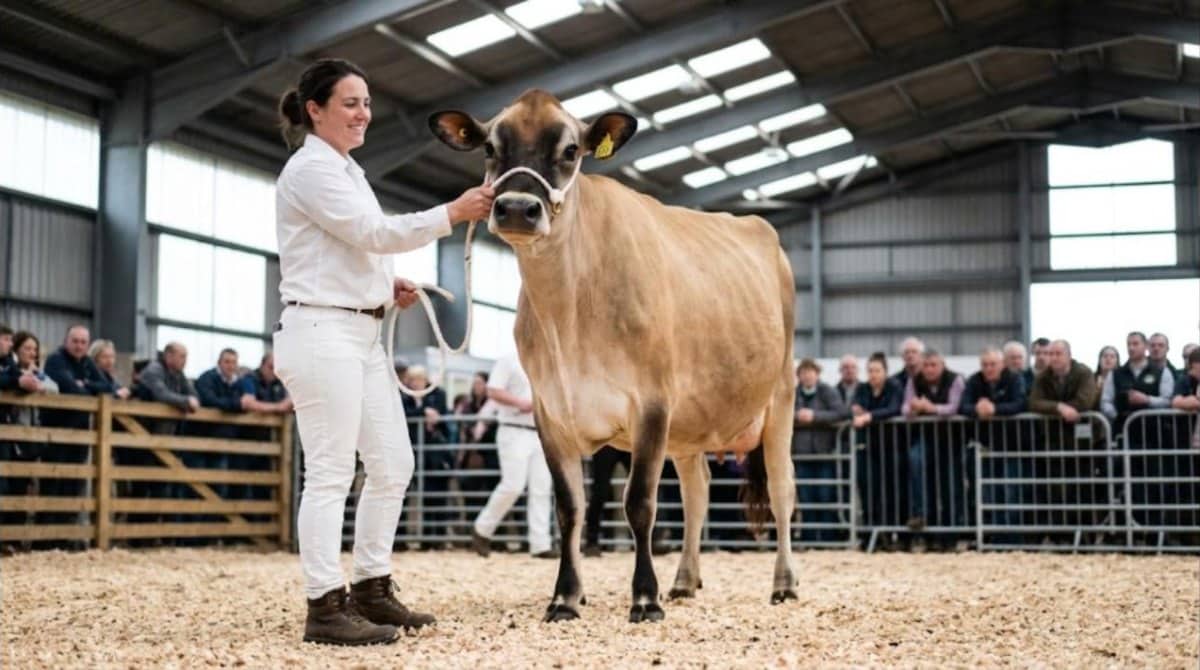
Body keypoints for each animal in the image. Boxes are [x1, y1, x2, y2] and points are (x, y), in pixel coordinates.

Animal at [430, 89, 797, 623]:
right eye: (490, 148)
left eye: (570, 151)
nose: (517, 207)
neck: (569, 315)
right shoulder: (550, 412)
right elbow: (571, 507)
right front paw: (565, 597)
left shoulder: (652, 402)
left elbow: (639, 503)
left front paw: (644, 597)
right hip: (689, 427)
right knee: (698, 491)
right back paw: (684, 580)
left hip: (781, 397)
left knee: (782, 488)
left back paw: (783, 584)